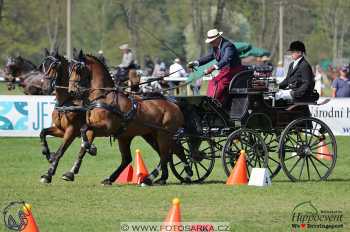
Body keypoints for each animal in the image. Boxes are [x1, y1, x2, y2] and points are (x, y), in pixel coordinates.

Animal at [39, 49, 95, 183]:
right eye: (43, 65)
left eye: (54, 65)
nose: (45, 88)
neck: (66, 101)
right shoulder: (61, 130)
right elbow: (43, 132)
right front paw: (47, 154)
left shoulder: (71, 131)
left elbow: (60, 151)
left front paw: (49, 174)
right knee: (83, 148)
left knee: (83, 148)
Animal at [66, 50, 191, 185]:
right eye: (70, 69)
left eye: (78, 69)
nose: (71, 91)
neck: (104, 97)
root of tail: (174, 105)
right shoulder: (93, 128)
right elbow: (83, 144)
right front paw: (71, 172)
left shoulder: (106, 128)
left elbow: (83, 130)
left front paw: (92, 148)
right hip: (145, 136)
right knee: (164, 153)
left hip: (164, 135)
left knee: (165, 155)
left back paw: (152, 178)